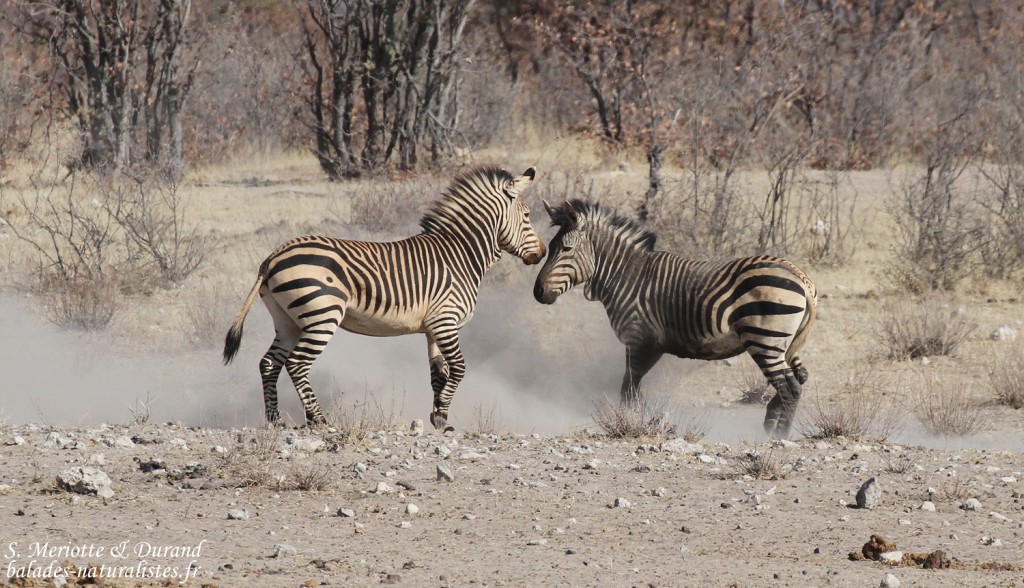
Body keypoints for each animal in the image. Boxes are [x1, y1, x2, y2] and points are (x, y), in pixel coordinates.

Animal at [223, 166, 545, 430]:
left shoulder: (433, 328)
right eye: (528, 216)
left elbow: (438, 374)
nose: (542, 254)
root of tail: (273, 257)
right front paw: (442, 416)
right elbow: (459, 368)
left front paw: (438, 417)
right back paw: (319, 420)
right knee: (297, 363)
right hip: (322, 315)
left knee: (269, 363)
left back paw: (274, 420)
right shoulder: (445, 321)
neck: (461, 254)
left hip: (287, 319)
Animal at [532, 200, 816, 438]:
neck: (627, 276)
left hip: (765, 340)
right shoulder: (652, 346)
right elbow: (633, 389)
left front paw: (631, 423)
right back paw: (771, 424)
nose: (538, 292)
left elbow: (628, 388)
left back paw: (779, 436)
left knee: (790, 386)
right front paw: (640, 419)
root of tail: (801, 277)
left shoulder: (637, 339)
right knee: (798, 378)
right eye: (551, 249)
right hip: (784, 343)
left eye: (566, 249)